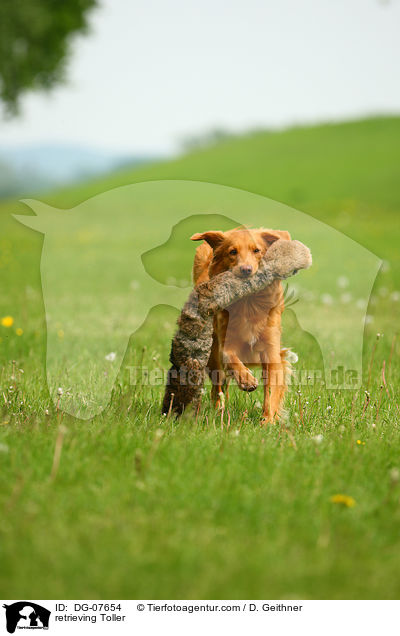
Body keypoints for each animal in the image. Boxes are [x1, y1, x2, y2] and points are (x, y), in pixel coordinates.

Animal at [191, 226, 290, 424]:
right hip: (213, 353)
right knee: (218, 388)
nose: (246, 270)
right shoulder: (225, 343)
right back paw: (219, 410)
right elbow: (230, 357)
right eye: (232, 252)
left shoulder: (271, 351)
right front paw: (246, 380)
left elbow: (271, 390)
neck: (248, 303)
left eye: (257, 250)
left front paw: (268, 421)